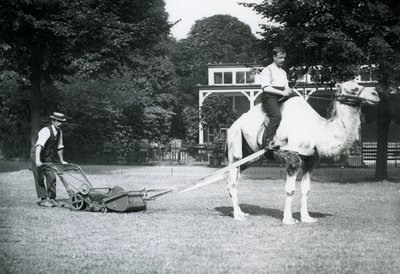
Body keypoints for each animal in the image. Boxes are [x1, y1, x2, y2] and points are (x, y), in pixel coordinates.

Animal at [227, 79, 380, 225]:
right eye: (353, 89)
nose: (375, 94)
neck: (318, 131)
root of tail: (231, 126)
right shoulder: (292, 157)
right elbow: (290, 189)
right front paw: (288, 219)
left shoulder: (311, 160)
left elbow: (306, 189)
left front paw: (307, 218)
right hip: (235, 144)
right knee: (232, 181)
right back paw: (238, 216)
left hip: (249, 157)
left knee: (233, 180)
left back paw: (241, 212)